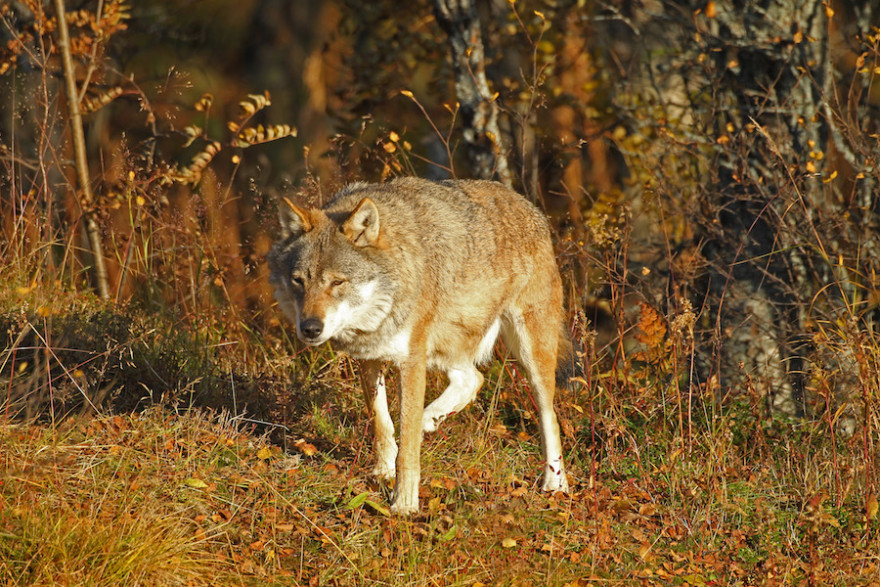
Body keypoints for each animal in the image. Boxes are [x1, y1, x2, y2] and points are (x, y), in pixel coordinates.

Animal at [268, 178, 576, 516]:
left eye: (337, 282)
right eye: (298, 281)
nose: (310, 328)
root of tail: (528, 205)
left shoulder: (410, 363)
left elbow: (408, 445)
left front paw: (403, 503)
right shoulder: (369, 357)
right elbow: (381, 423)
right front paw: (383, 470)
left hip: (529, 355)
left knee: (550, 416)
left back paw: (555, 484)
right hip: (445, 349)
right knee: (475, 379)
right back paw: (432, 417)